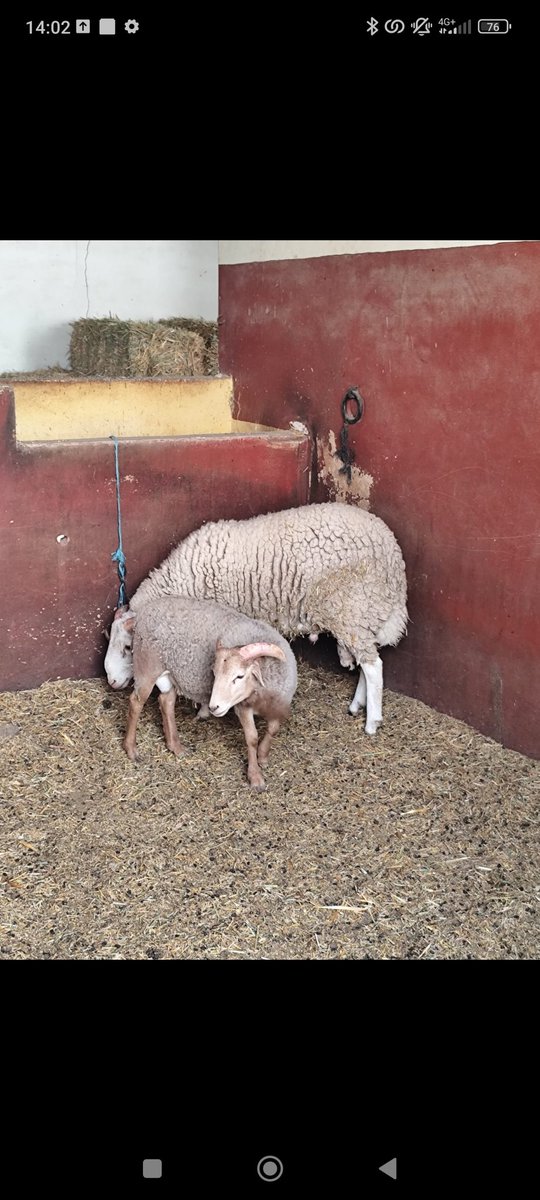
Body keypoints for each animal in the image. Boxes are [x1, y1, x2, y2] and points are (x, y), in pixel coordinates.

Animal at [105, 502, 407, 736]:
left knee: (373, 666)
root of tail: (392, 550)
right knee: (368, 663)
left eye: (129, 647)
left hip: (353, 608)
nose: (112, 681)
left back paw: (372, 722)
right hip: (361, 615)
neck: (184, 582)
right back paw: (357, 706)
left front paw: (204, 707)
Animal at [107, 596, 297, 791]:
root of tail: (147, 609)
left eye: (240, 676)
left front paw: (263, 756)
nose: (215, 706)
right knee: (136, 702)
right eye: (214, 673)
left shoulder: (280, 704)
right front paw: (255, 776)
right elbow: (251, 737)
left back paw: (176, 746)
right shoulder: (242, 707)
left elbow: (273, 729)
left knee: (166, 701)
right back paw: (131, 749)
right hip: (148, 668)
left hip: (167, 672)